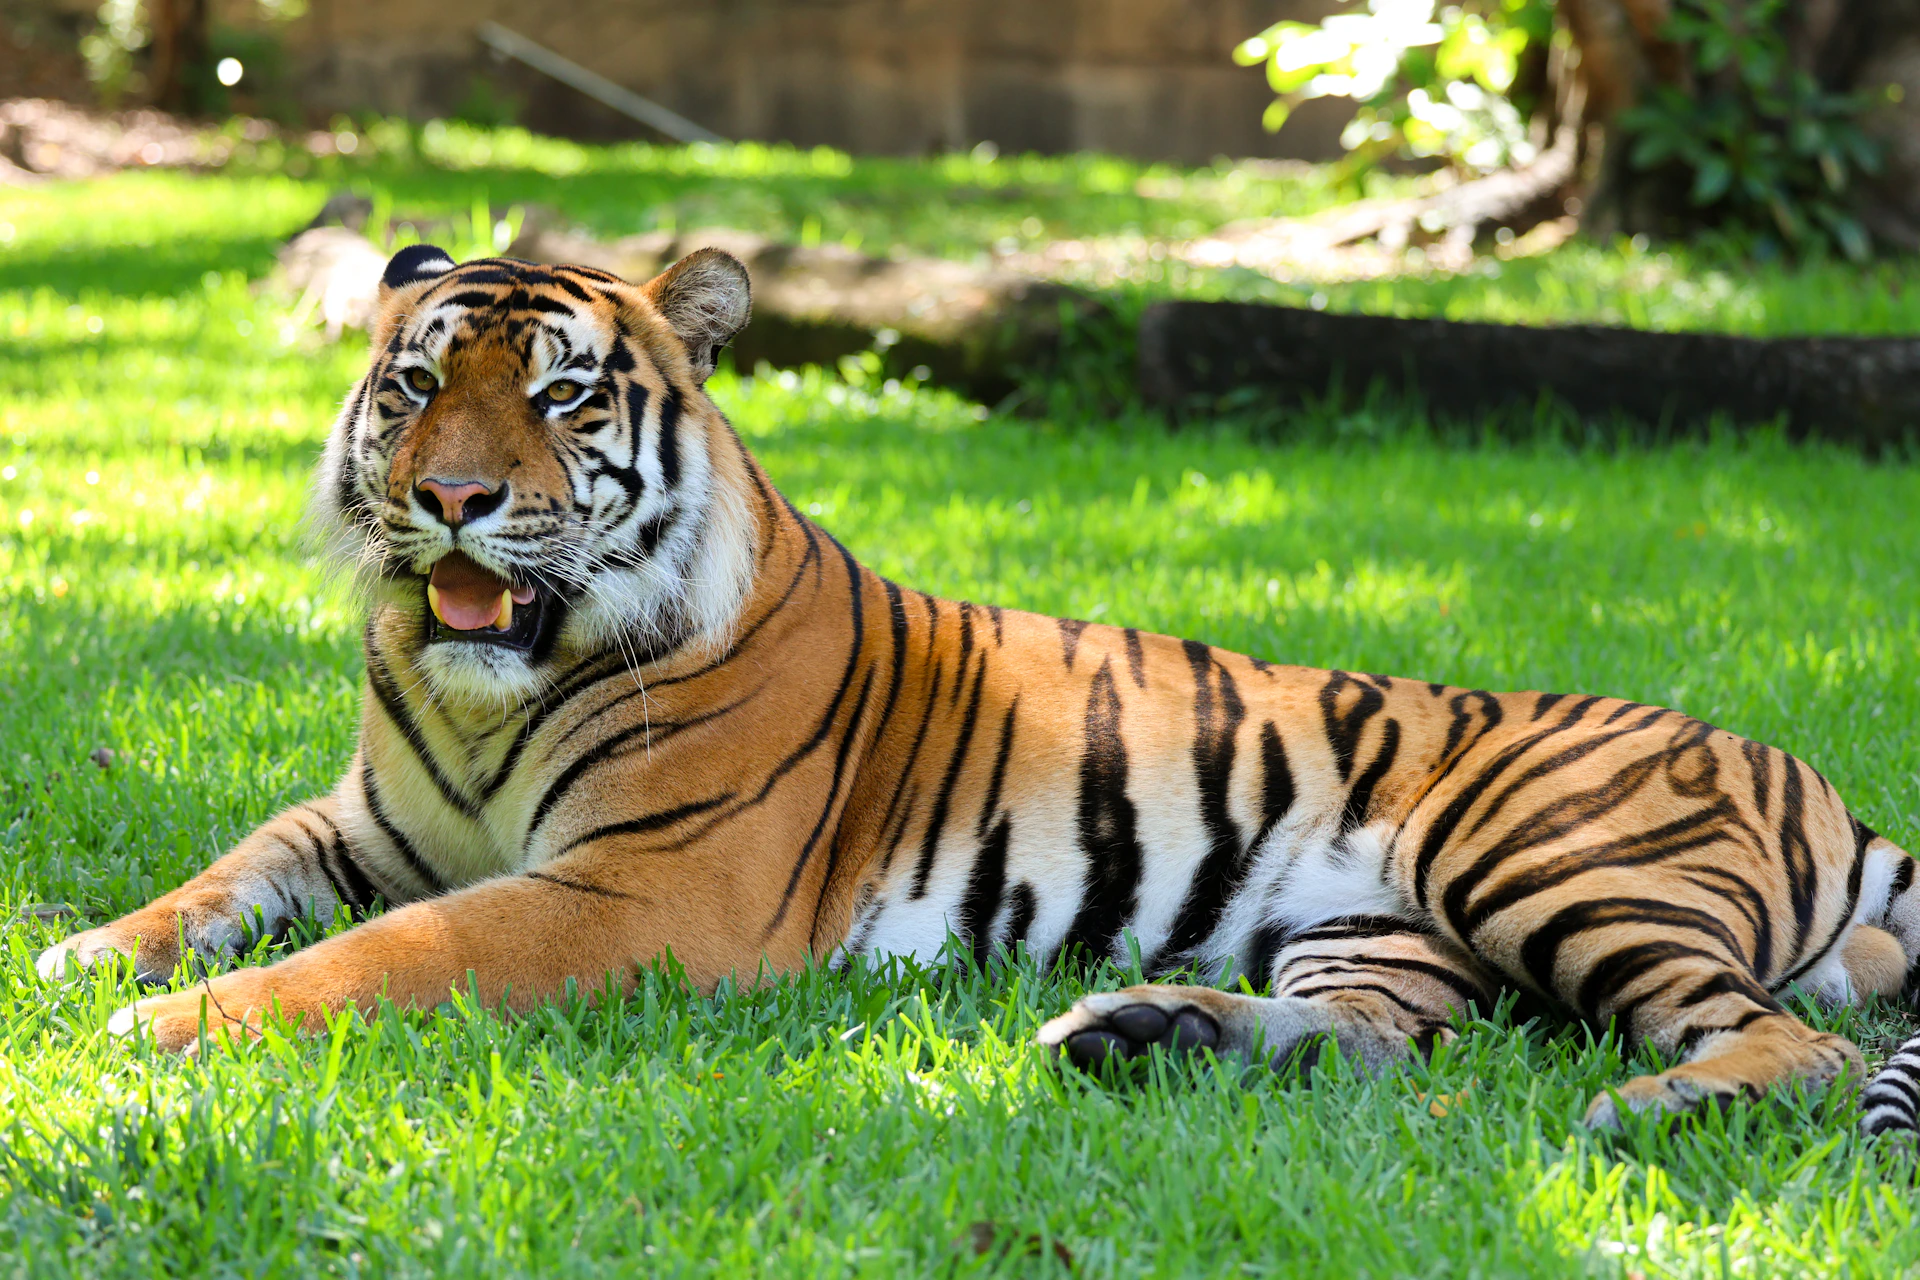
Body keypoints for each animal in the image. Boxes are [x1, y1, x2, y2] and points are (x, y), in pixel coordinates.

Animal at [36, 242, 1920, 1134]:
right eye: (421, 387)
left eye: (564, 398)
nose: (452, 499)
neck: (490, 683)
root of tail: (1811, 777)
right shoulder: (371, 817)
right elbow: (228, 876)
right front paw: (87, 957)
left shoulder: (640, 893)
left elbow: (387, 959)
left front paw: (166, 1033)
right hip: (1380, 930)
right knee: (1389, 1043)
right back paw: (1146, 1031)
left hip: (1543, 859)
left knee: (1799, 1048)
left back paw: (1647, 1109)